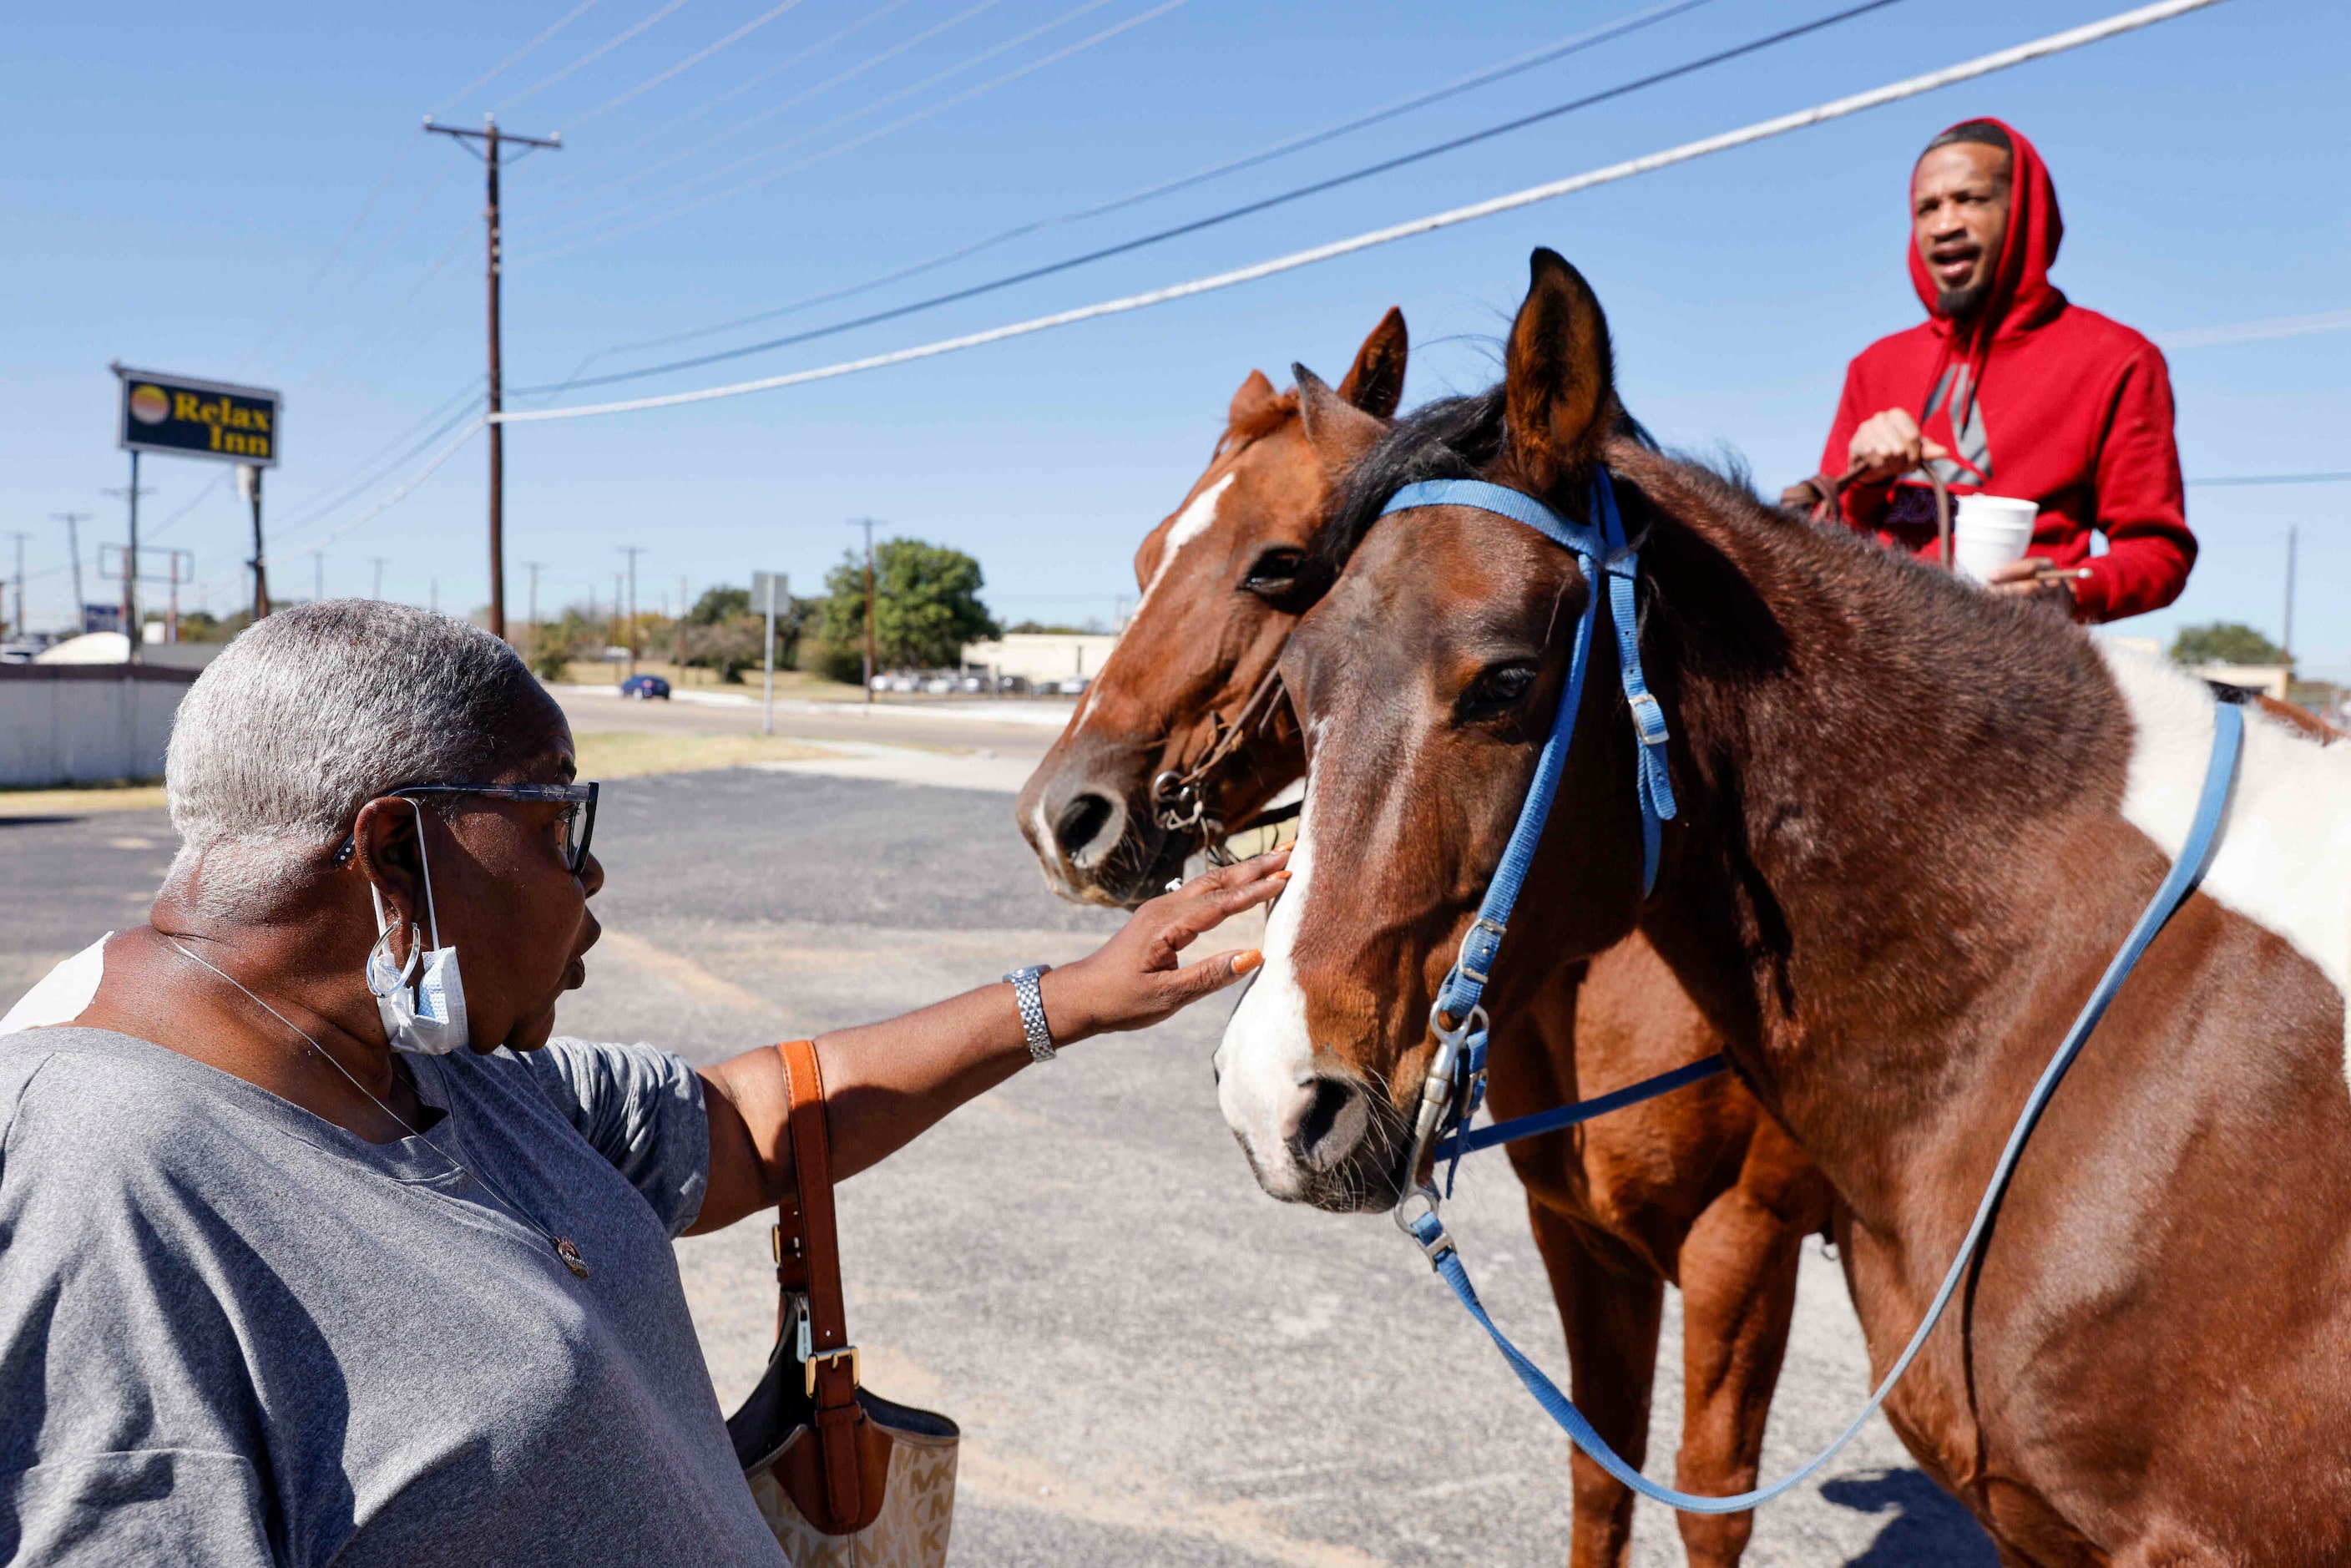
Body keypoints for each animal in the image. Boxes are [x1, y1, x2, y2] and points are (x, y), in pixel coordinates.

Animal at [1024, 312, 1833, 1560]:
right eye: (1150, 555)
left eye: (1276, 564)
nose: (1062, 815)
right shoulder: (1579, 1239)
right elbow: (1600, 1473)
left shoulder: (1742, 1247)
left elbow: (1711, 1494)